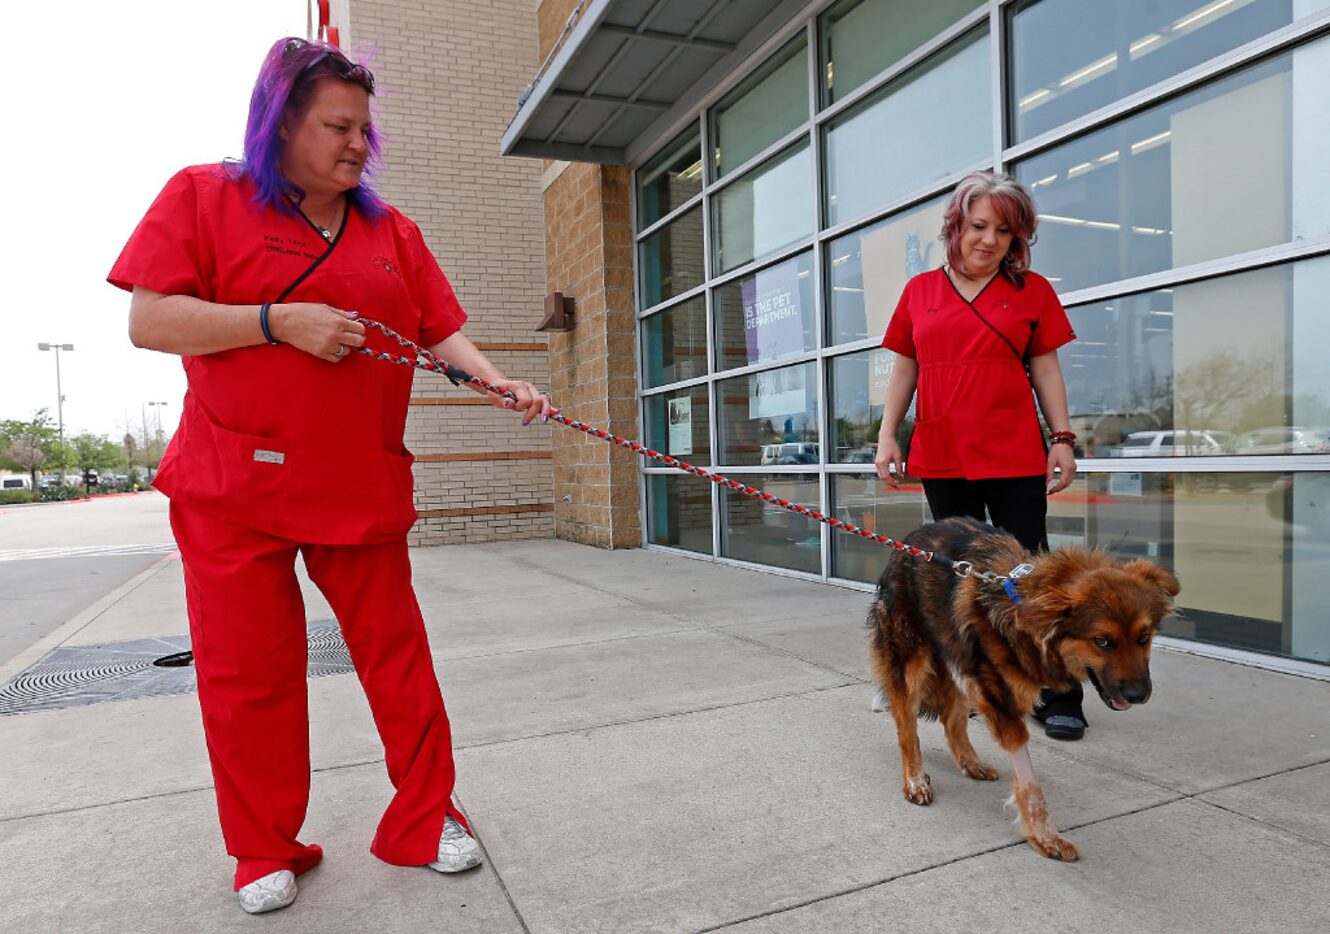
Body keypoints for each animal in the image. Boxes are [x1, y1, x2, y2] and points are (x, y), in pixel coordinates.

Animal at [867, 518, 1181, 862]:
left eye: (1144, 638)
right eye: (1103, 641)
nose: (1139, 696)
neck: (1022, 608)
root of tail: (909, 541)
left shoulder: (986, 681)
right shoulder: (997, 693)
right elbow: (1027, 774)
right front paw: (1043, 834)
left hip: (960, 656)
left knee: (952, 719)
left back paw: (971, 763)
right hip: (910, 660)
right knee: (907, 727)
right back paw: (915, 780)